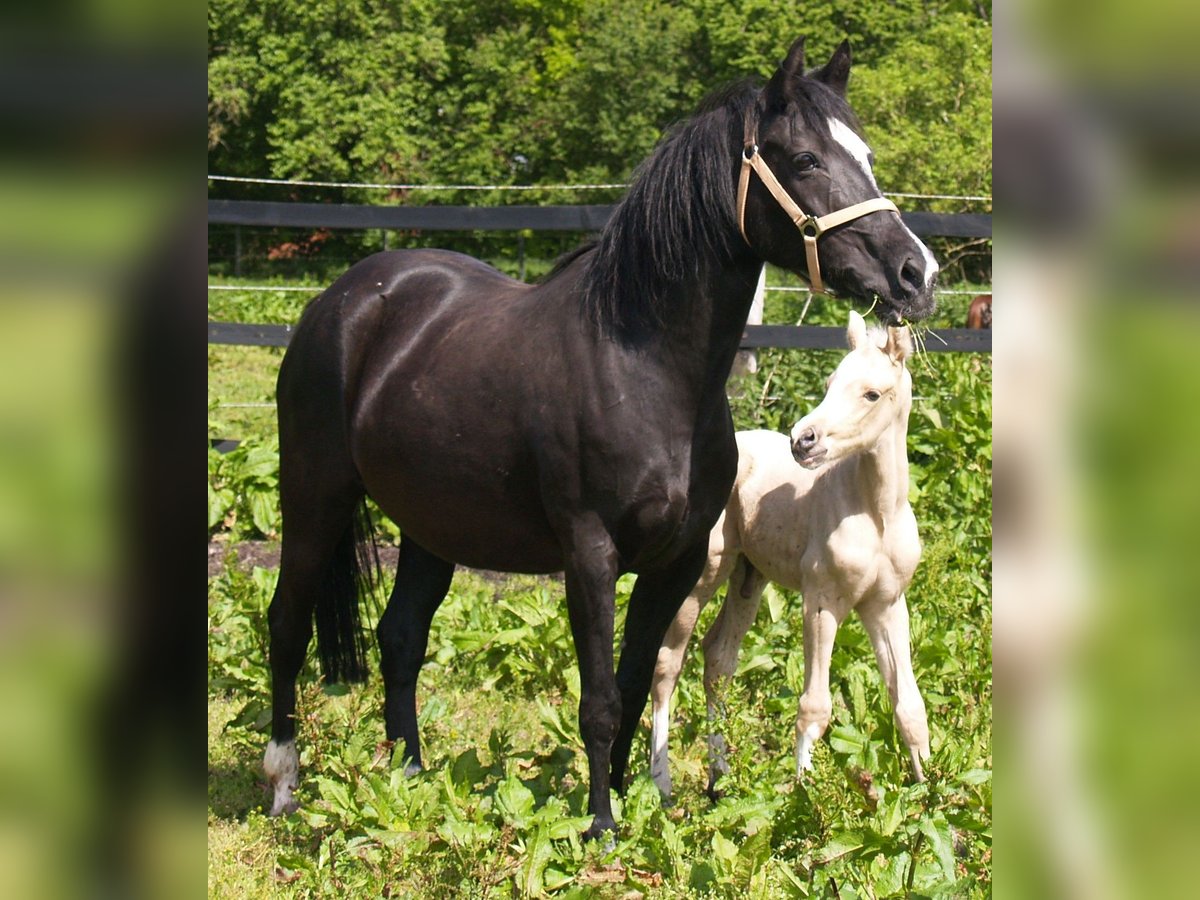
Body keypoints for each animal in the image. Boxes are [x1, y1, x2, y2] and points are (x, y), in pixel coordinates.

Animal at [652, 309, 931, 796]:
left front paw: (939, 797)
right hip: (703, 575)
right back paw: (661, 788)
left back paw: (719, 780)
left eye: (871, 393)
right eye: (830, 381)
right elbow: (814, 706)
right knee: (668, 664)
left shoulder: (885, 604)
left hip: (749, 576)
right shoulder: (821, 602)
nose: (803, 440)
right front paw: (805, 799)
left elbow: (910, 707)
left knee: (718, 659)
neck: (877, 513)